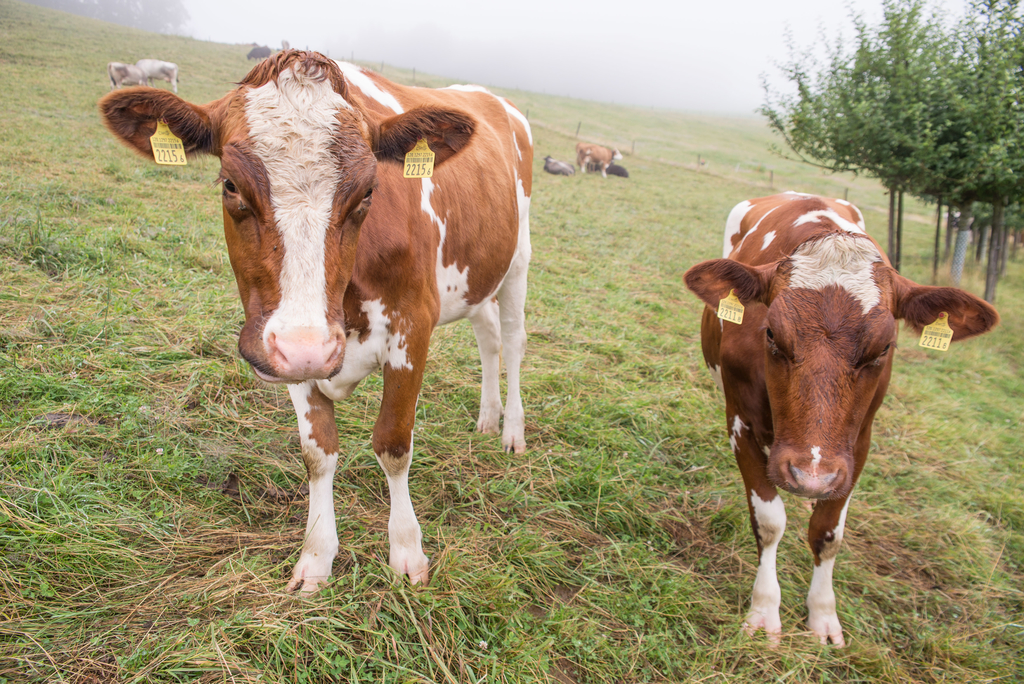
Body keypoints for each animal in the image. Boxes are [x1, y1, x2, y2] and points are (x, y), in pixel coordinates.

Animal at [684, 191, 995, 647]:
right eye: (771, 333)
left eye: (884, 347)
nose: (810, 475)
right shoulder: (741, 423)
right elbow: (769, 522)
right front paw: (764, 611)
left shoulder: (856, 445)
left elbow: (828, 532)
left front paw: (823, 615)